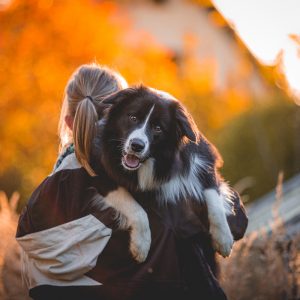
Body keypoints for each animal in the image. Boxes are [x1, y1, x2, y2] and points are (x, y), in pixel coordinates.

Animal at [91, 85, 234, 258]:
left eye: (158, 128)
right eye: (133, 117)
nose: (136, 145)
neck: (152, 160)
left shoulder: (203, 160)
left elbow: (214, 199)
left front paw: (224, 239)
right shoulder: (99, 173)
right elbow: (137, 210)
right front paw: (141, 245)